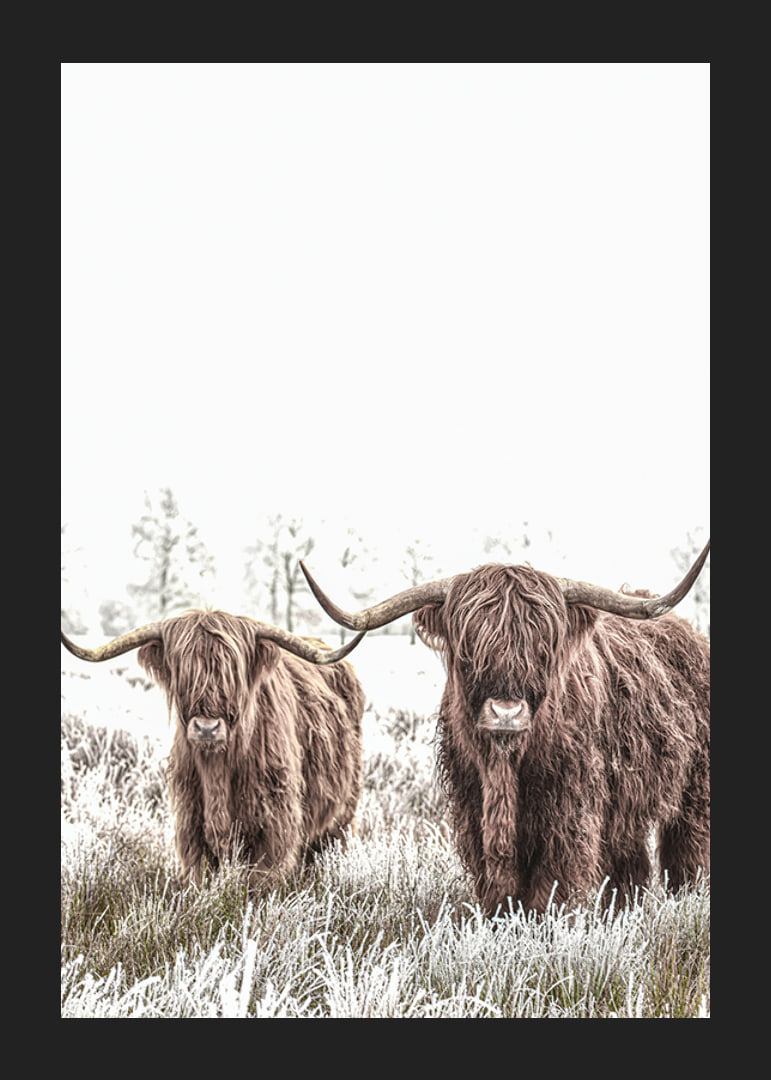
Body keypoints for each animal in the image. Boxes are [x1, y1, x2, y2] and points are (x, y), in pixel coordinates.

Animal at [61, 610, 366, 889]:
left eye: (233, 673)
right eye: (183, 671)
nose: (207, 728)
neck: (217, 769)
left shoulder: (274, 826)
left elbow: (261, 882)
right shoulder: (191, 827)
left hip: (342, 813)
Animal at [300, 542, 710, 915]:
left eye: (543, 648)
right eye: (469, 648)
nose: (506, 713)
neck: (506, 766)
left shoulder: (570, 812)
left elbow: (553, 883)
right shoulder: (472, 809)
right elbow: (498, 886)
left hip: (694, 788)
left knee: (687, 849)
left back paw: (685, 898)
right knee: (631, 859)